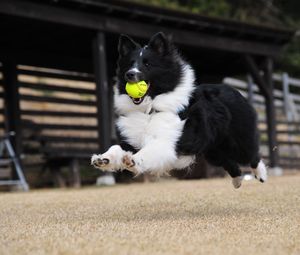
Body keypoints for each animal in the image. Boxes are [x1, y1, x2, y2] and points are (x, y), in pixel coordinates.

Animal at [92, 31, 268, 188]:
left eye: (147, 64)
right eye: (130, 64)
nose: (130, 74)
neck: (149, 109)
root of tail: (234, 89)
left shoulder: (165, 142)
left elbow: (147, 152)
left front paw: (133, 161)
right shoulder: (132, 139)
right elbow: (116, 147)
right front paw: (103, 159)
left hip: (237, 142)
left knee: (253, 155)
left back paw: (261, 175)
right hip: (213, 150)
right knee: (231, 163)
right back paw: (237, 181)